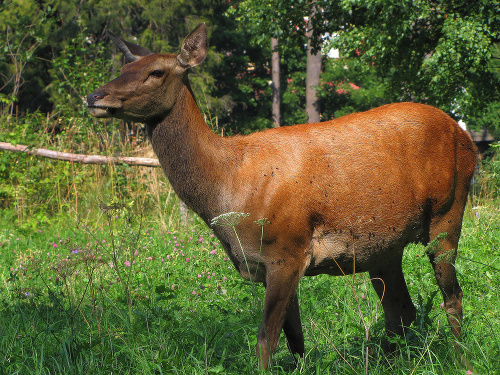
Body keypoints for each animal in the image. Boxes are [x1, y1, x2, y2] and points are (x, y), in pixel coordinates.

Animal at [87, 22, 476, 370]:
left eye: (156, 72)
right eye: (123, 68)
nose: (93, 96)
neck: (227, 191)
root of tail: (465, 135)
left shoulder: (287, 251)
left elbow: (265, 340)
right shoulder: (266, 264)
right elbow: (296, 342)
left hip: (448, 211)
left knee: (452, 297)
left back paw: (463, 362)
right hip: (383, 246)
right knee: (401, 312)